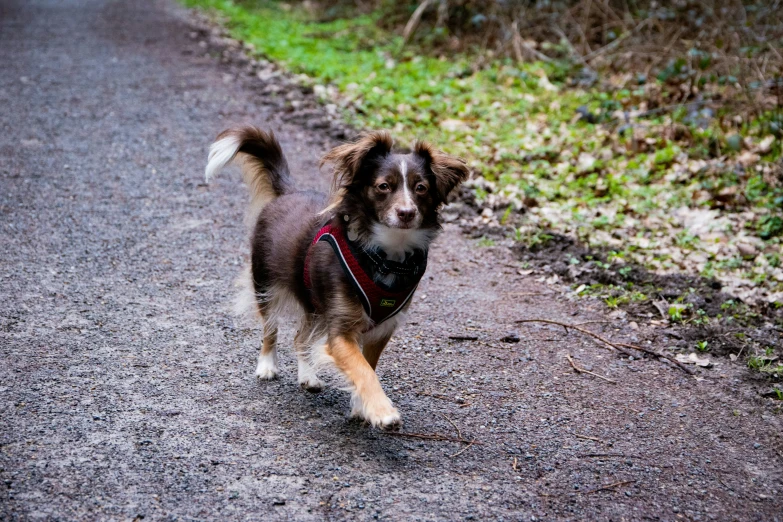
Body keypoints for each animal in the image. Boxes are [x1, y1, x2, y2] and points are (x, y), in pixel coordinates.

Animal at [205, 127, 468, 426]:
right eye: (383, 186)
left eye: (421, 188)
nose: (406, 213)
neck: (385, 256)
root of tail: (288, 193)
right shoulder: (341, 330)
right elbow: (362, 370)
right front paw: (382, 411)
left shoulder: (380, 329)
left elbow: (367, 367)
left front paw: (362, 406)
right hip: (265, 283)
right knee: (270, 327)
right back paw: (267, 365)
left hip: (316, 303)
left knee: (300, 337)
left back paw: (307, 376)